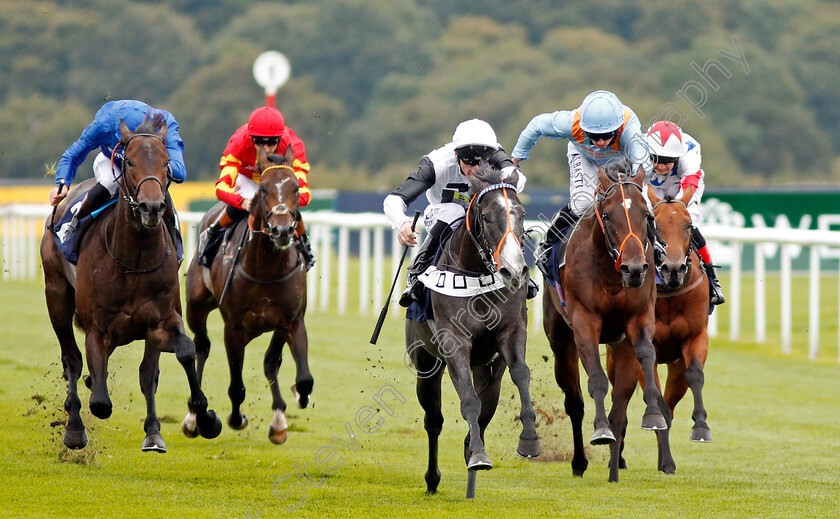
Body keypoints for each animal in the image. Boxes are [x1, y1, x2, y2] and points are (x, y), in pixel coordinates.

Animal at [39, 112, 223, 450]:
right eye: (130, 161)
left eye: (166, 162)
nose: (152, 207)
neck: (134, 260)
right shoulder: (97, 328)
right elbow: (100, 402)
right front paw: (80, 419)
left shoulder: (160, 320)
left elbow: (180, 354)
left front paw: (204, 419)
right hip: (56, 294)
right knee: (72, 359)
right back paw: (74, 426)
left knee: (145, 371)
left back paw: (152, 431)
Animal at [185, 144, 316, 444]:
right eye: (263, 189)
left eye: (295, 188)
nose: (282, 230)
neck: (266, 268)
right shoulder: (233, 328)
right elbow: (236, 386)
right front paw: (234, 419)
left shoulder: (291, 320)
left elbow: (301, 376)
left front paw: (293, 403)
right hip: (196, 306)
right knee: (201, 346)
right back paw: (194, 416)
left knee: (270, 361)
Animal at [406, 166, 540, 500]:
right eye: (487, 217)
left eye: (521, 214)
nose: (514, 271)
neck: (476, 275)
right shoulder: (454, 342)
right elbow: (467, 399)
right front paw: (479, 456)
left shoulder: (511, 332)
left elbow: (521, 374)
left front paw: (529, 440)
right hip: (425, 363)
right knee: (434, 421)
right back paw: (434, 478)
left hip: (488, 370)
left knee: (484, 412)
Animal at [544, 158, 668, 484]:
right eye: (609, 215)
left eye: (647, 215)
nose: (634, 268)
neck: (611, 272)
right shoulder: (584, 322)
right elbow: (596, 380)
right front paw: (600, 431)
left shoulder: (638, 318)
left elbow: (646, 354)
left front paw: (654, 414)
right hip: (560, 341)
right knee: (574, 402)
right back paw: (579, 462)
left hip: (620, 348)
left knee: (620, 408)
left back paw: (613, 471)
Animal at [608, 185, 712, 478]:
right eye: (656, 224)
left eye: (689, 225)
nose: (673, 268)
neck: (670, 293)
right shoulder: (644, 347)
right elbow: (657, 405)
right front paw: (666, 461)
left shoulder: (696, 337)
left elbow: (695, 376)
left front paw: (701, 427)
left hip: (675, 366)